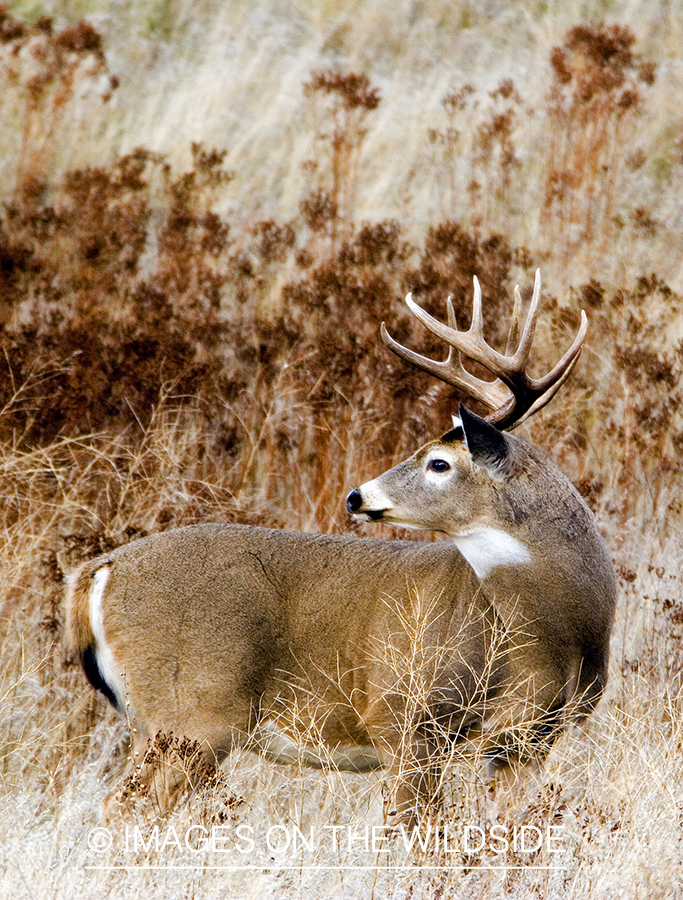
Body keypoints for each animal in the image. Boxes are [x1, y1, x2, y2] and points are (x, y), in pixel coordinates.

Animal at [67, 270, 616, 828]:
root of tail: (99, 571)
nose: (356, 495)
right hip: (191, 713)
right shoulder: (402, 716)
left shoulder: (527, 744)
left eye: (438, 463)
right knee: (123, 805)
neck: (553, 636)